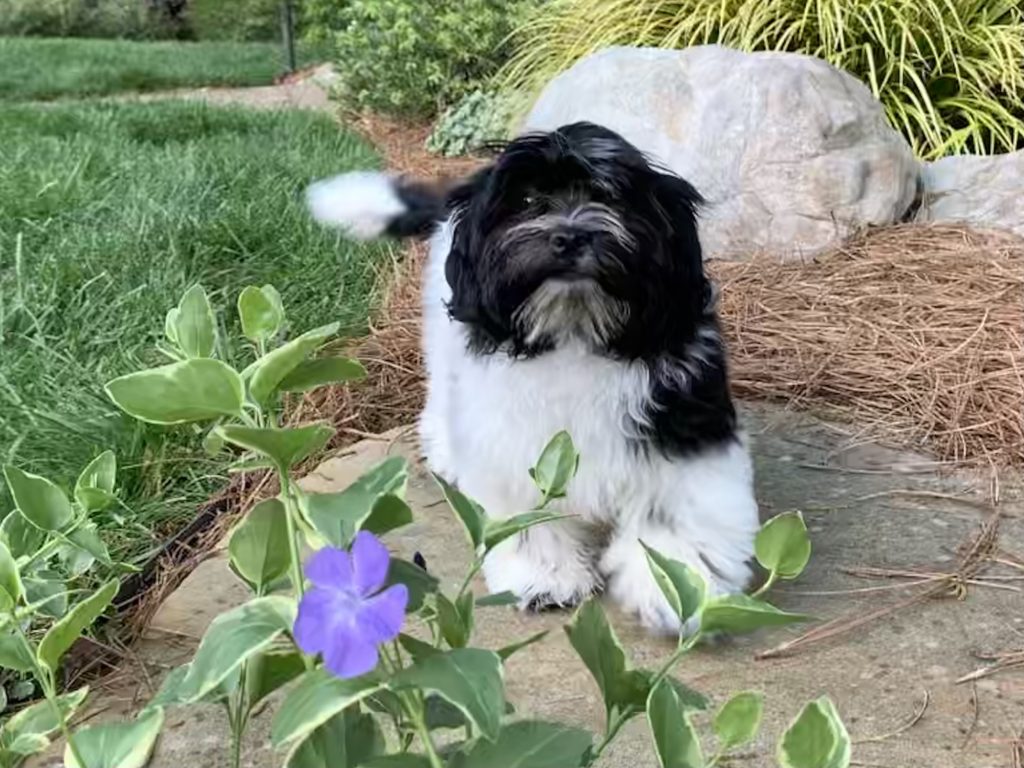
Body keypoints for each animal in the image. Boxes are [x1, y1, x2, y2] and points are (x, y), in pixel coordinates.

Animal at [299, 123, 757, 634]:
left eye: (611, 198)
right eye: (528, 201)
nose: (570, 236)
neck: (575, 330)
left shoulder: (681, 415)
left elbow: (673, 508)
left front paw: (674, 587)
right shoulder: (522, 440)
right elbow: (527, 512)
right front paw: (546, 575)